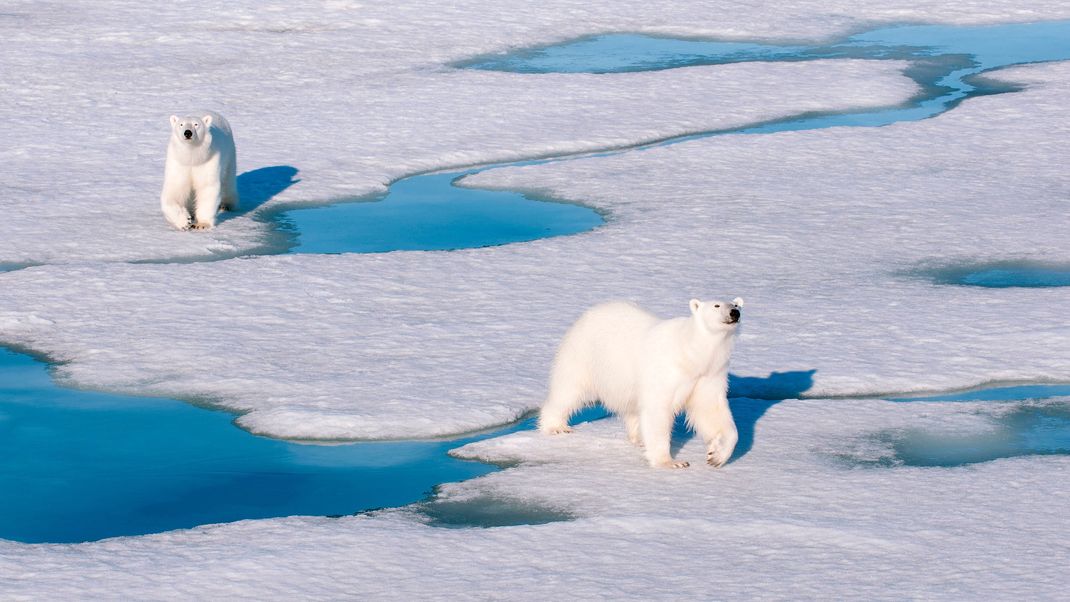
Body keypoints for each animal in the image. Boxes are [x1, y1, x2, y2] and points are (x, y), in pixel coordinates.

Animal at [539, 299, 740, 468]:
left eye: (736, 304)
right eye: (716, 305)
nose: (734, 313)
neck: (691, 354)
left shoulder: (709, 374)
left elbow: (711, 410)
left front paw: (716, 455)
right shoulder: (667, 371)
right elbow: (658, 409)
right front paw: (671, 462)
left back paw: (639, 438)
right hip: (584, 356)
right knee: (569, 390)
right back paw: (556, 427)